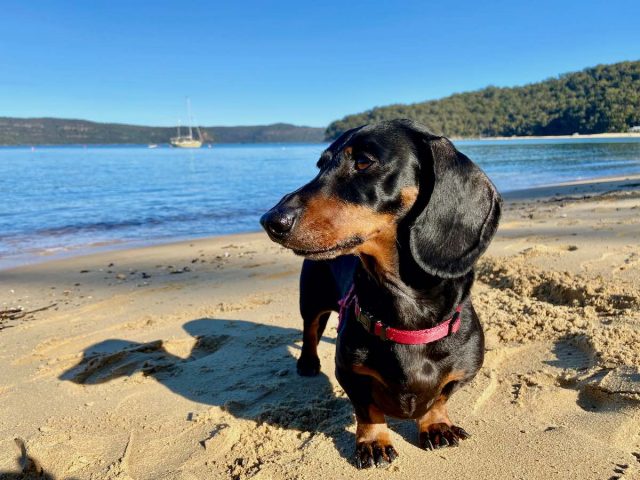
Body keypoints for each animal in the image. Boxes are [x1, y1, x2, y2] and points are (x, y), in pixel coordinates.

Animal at [260, 119, 500, 468]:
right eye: (320, 165)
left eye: (363, 162)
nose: (270, 221)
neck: (408, 314)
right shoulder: (349, 373)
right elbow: (368, 410)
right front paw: (374, 442)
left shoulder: (464, 370)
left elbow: (440, 398)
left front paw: (436, 425)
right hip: (312, 298)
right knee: (310, 328)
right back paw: (307, 362)